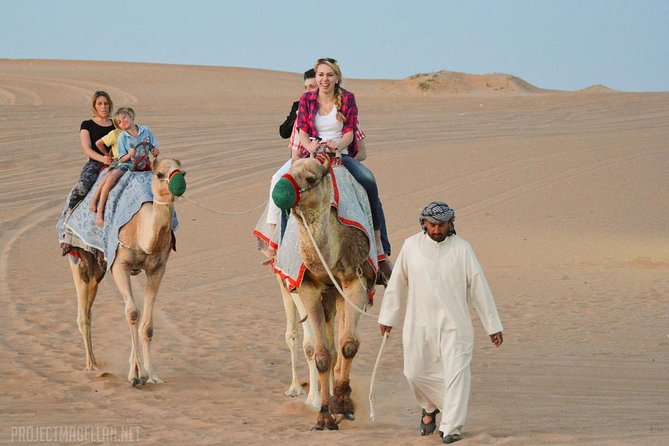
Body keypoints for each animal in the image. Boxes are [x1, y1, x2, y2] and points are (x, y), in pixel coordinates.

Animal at [67, 159, 185, 386]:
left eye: (183, 172)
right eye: (159, 174)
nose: (179, 185)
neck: (141, 229)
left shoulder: (158, 269)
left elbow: (146, 325)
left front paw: (151, 374)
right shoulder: (119, 265)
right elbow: (132, 313)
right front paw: (135, 375)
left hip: (99, 267)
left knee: (89, 301)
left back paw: (96, 362)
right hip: (78, 257)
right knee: (82, 312)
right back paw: (91, 366)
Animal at [272, 156, 376, 428]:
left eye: (311, 179)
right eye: (289, 170)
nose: (280, 192)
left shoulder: (355, 280)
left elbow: (348, 345)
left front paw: (342, 403)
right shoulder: (306, 286)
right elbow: (320, 353)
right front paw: (323, 413)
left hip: (338, 294)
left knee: (337, 343)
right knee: (302, 336)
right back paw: (299, 389)